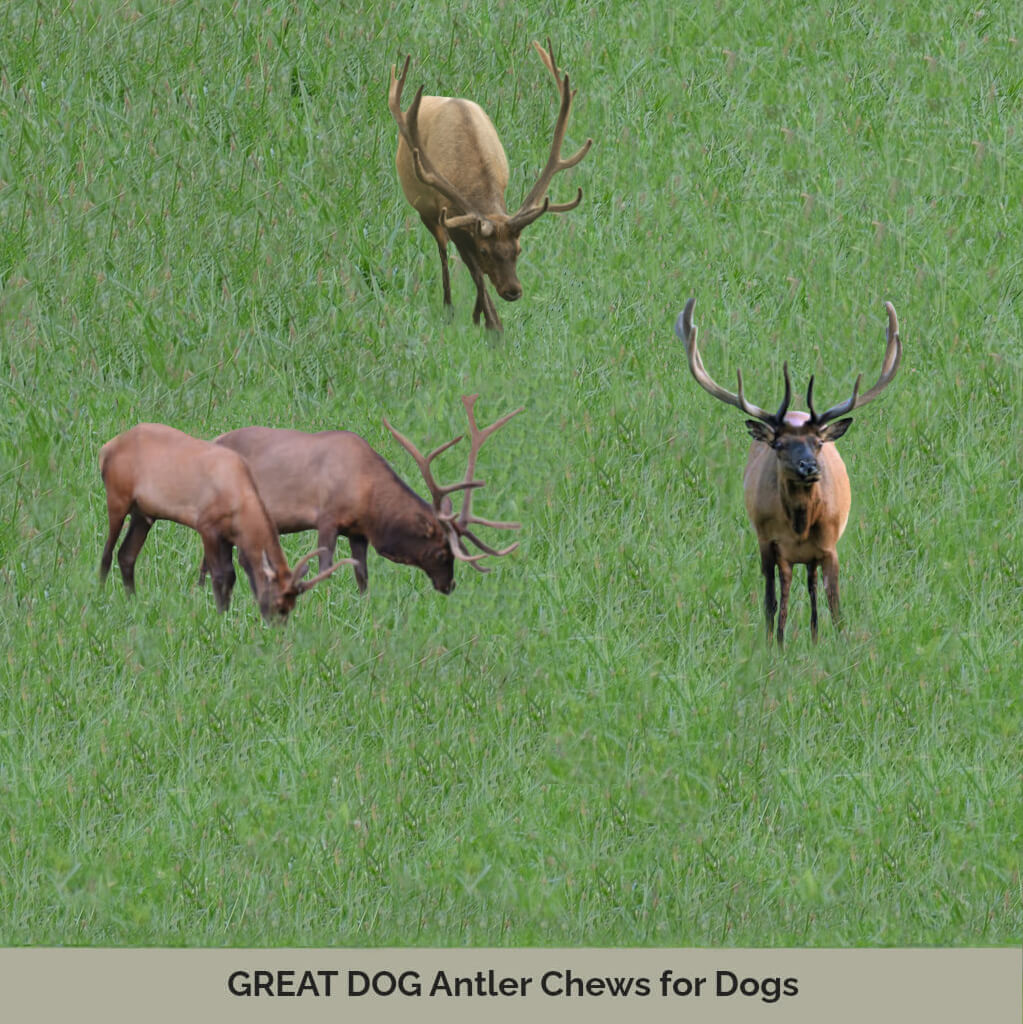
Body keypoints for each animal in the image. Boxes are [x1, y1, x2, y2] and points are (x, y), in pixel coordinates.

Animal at [98, 421, 352, 622]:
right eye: (278, 603)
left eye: (292, 606)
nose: (277, 628)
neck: (239, 500)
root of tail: (105, 449)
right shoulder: (206, 527)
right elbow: (219, 574)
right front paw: (220, 615)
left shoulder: (229, 536)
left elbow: (231, 575)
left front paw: (226, 614)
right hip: (117, 498)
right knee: (107, 552)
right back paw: (99, 595)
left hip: (143, 514)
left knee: (126, 554)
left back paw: (133, 600)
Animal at [200, 395, 524, 598]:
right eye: (442, 553)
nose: (449, 586)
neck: (369, 500)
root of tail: (214, 439)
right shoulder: (327, 517)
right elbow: (326, 568)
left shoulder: (358, 532)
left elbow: (363, 576)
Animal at [387, 37, 593, 327]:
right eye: (485, 251)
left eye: (518, 249)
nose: (513, 291)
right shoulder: (452, 221)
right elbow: (475, 273)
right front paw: (493, 326)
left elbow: (479, 277)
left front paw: (482, 318)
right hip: (426, 212)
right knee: (443, 255)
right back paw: (450, 308)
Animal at [679, 299, 905, 647]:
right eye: (780, 444)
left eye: (818, 443)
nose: (808, 466)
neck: (800, 525)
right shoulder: (772, 543)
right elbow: (775, 603)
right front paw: (777, 646)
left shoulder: (829, 545)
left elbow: (834, 603)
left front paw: (840, 644)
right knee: (781, 594)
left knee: (811, 589)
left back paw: (813, 636)